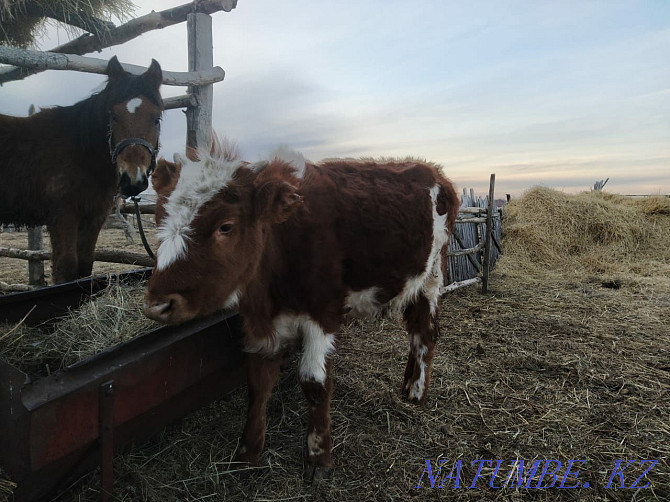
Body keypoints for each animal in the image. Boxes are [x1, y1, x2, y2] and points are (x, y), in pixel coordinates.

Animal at [0, 56, 163, 284]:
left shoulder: (93, 217)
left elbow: (84, 266)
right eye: (113, 116)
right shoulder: (63, 215)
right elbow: (66, 267)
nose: (132, 179)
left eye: (157, 118)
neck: (80, 154)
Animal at [146, 143, 462, 480]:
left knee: (425, 333)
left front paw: (318, 457)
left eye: (225, 226)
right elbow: (258, 382)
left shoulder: (323, 313)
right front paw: (248, 452)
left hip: (433, 275)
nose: (159, 304)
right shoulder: (261, 322)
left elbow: (314, 383)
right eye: (159, 218)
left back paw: (416, 392)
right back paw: (406, 384)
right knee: (414, 330)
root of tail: (434, 170)